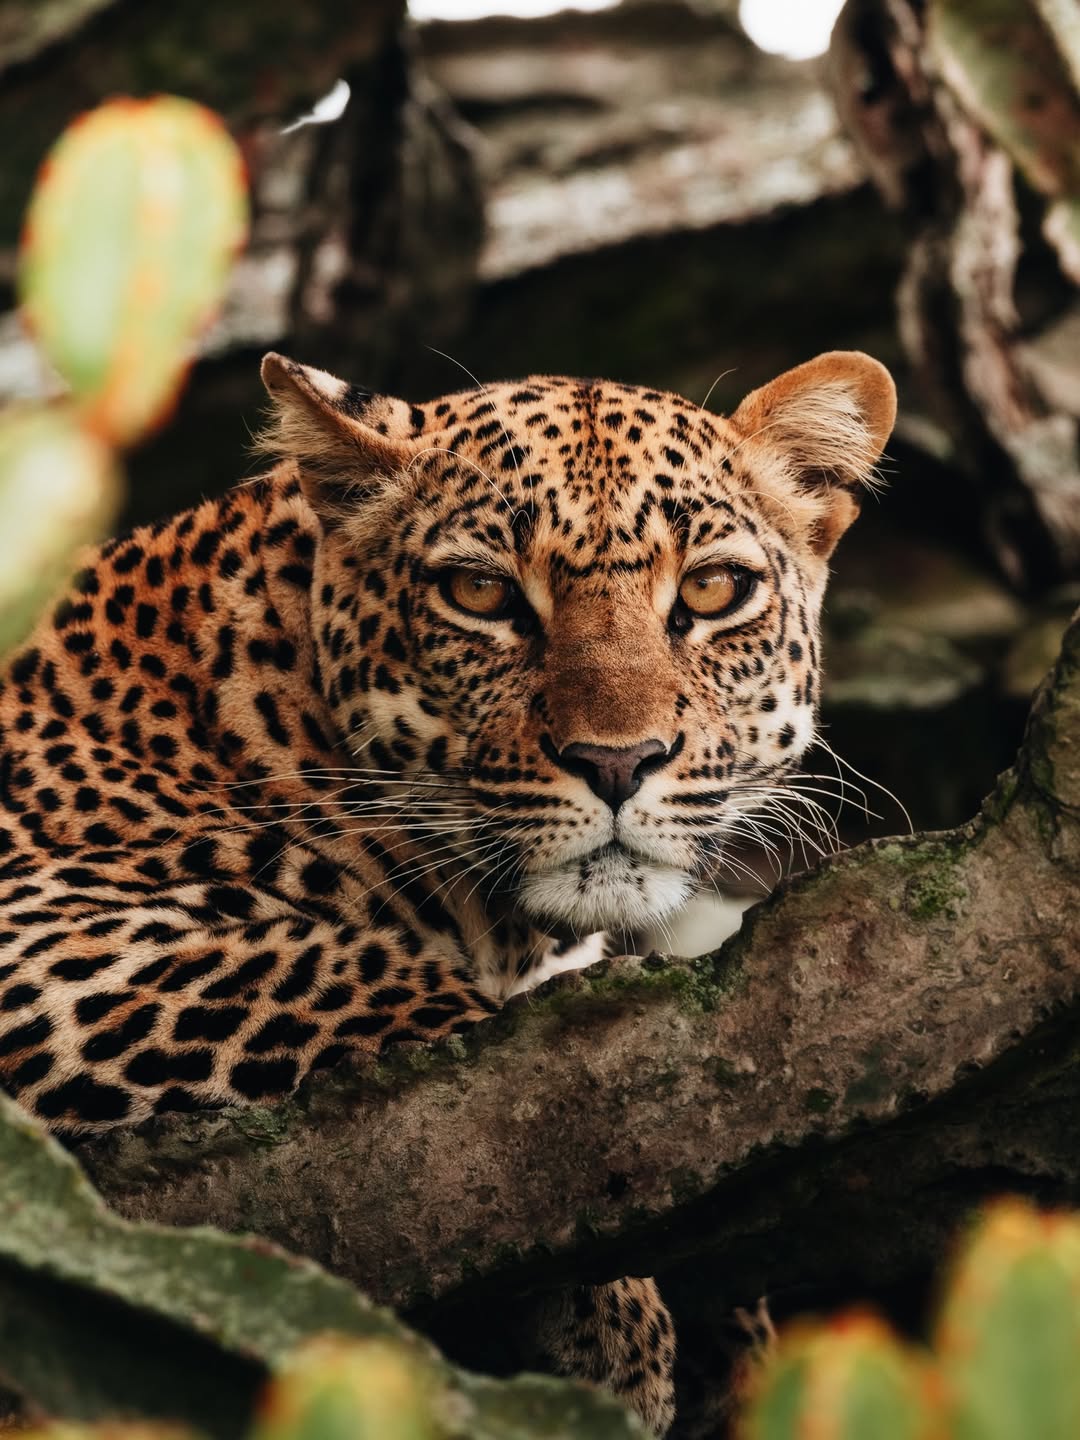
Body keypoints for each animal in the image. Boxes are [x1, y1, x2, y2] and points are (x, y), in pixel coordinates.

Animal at [0, 347, 895, 1435]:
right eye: (479, 593)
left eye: (716, 589)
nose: (618, 761)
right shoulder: (43, 925)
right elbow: (377, 988)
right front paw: (623, 1321)